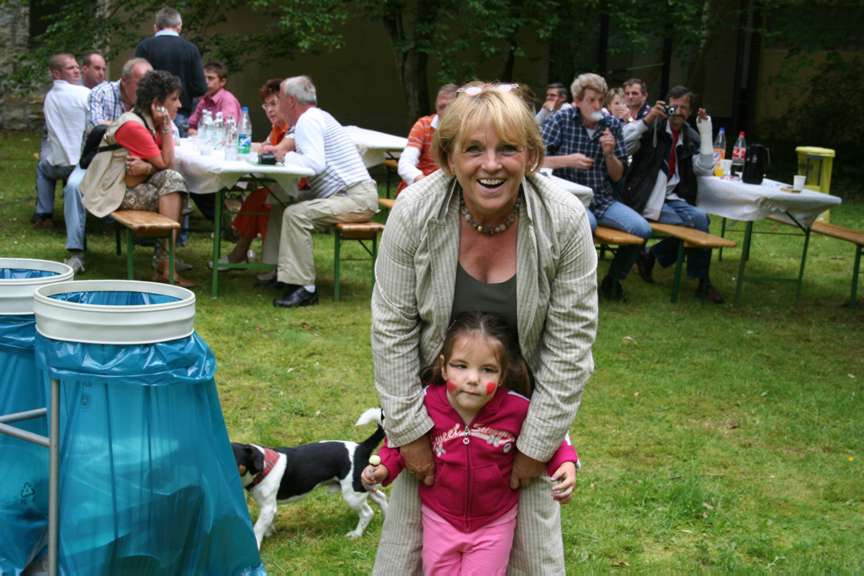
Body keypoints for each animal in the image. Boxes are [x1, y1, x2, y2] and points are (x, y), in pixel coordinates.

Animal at [232, 407, 388, 549]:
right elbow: (268, 524)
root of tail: (361, 447)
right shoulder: (266, 506)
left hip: (352, 494)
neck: (264, 467)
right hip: (363, 484)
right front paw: (269, 532)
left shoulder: (268, 508)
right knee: (381, 498)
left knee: (367, 513)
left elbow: (257, 529)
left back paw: (356, 534)